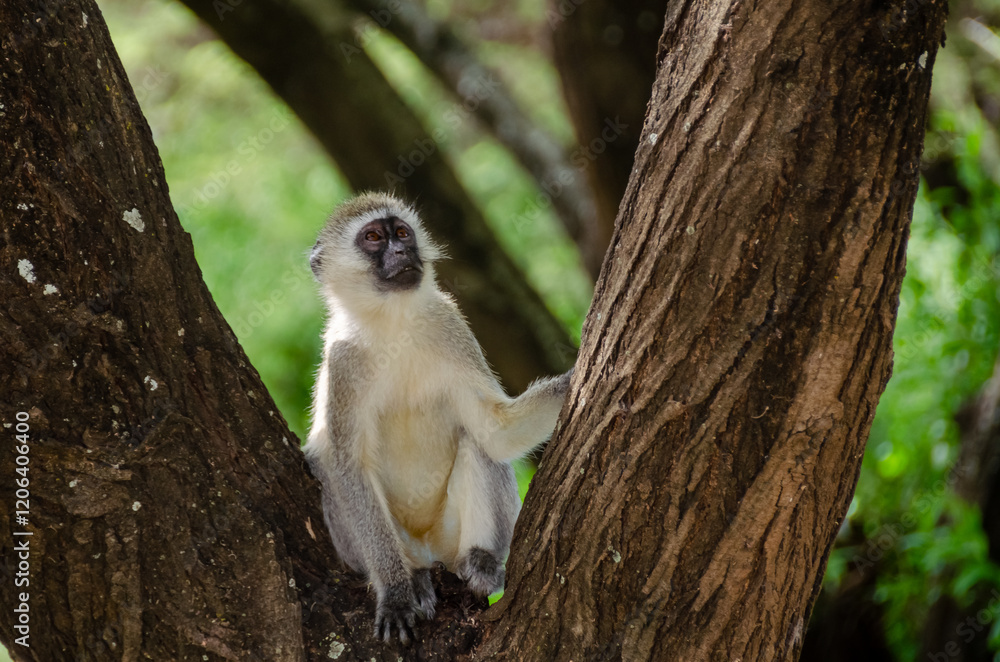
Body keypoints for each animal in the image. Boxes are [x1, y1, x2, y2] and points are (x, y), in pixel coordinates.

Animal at [303, 192, 573, 644]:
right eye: (373, 238)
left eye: (402, 232)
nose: (402, 252)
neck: (393, 323)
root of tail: (431, 553)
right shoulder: (342, 363)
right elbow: (346, 466)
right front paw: (396, 592)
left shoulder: (451, 325)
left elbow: (495, 432)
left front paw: (578, 376)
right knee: (328, 469)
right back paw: (415, 578)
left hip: (450, 535)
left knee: (477, 443)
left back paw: (482, 561)